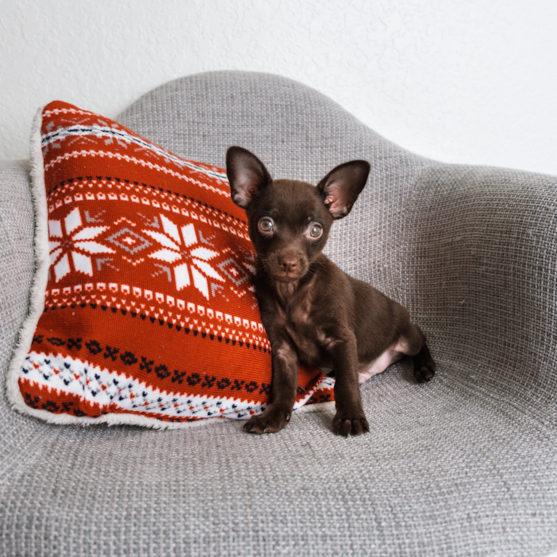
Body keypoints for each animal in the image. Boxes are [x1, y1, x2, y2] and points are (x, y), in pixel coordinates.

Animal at [226, 147, 434, 434]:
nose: (289, 262)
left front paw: (350, 416)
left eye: (315, 230)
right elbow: (284, 386)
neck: (293, 291)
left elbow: (345, 384)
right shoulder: (283, 349)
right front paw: (275, 414)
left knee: (420, 337)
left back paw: (425, 365)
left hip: (408, 337)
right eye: (265, 224)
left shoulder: (342, 340)